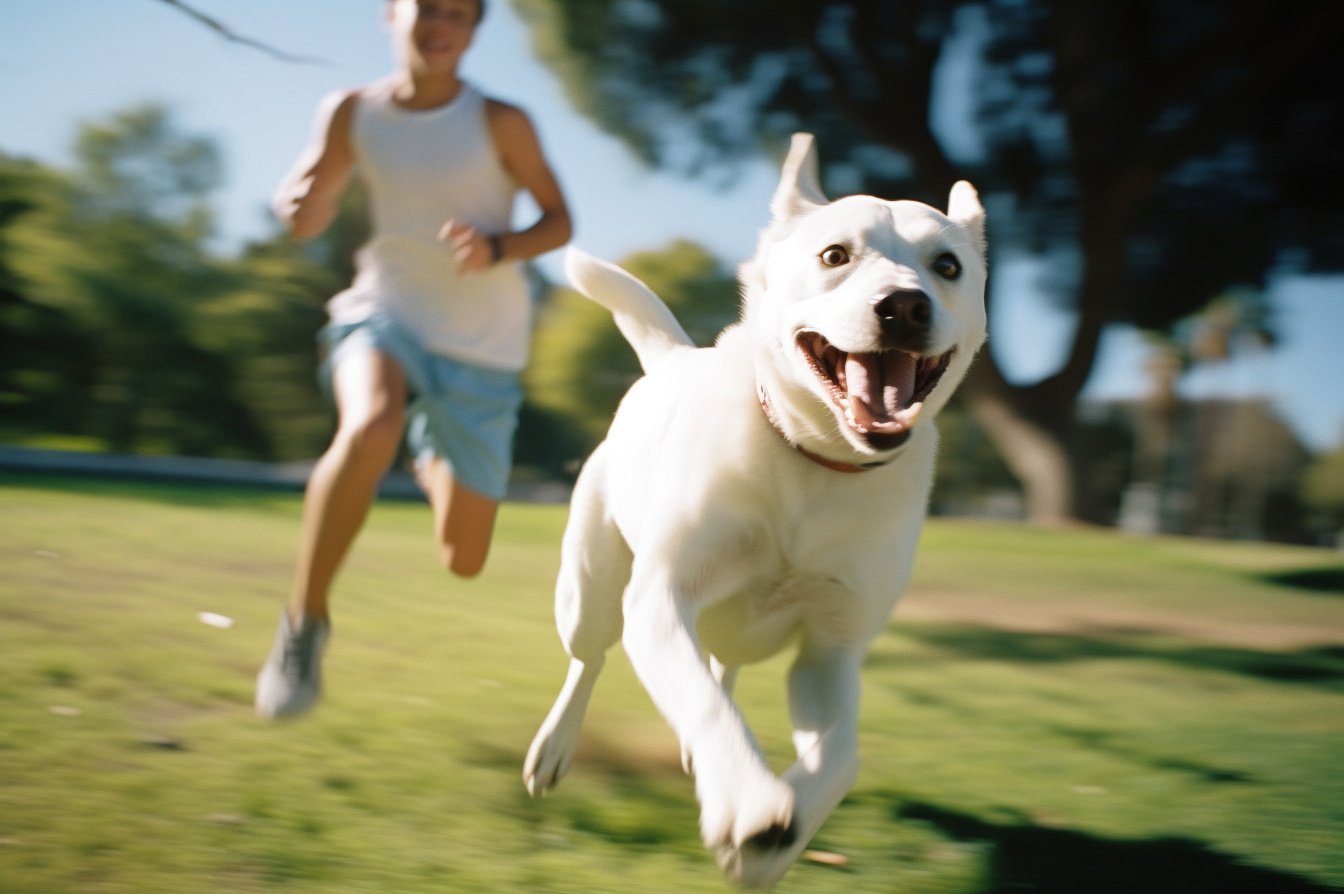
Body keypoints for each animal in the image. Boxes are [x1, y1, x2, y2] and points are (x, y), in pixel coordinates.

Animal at [521, 132, 989, 887]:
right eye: (835, 255)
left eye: (948, 266)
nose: (905, 306)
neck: (814, 462)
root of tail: (669, 361)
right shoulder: (660, 599)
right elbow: (703, 704)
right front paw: (749, 803)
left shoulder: (831, 649)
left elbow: (842, 754)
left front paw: (782, 830)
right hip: (591, 588)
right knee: (591, 659)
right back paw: (559, 745)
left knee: (723, 667)